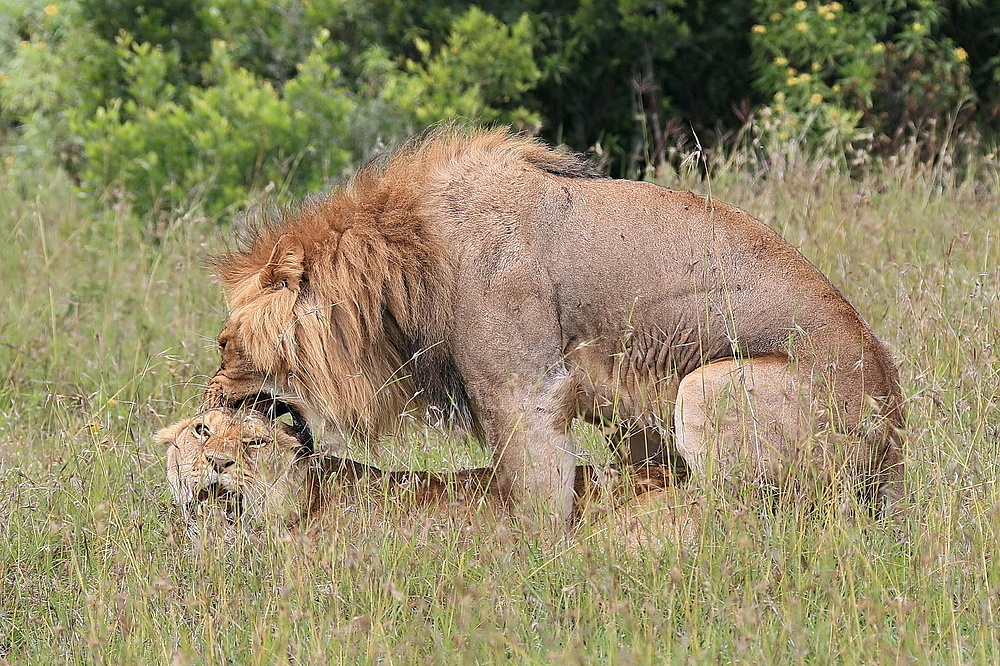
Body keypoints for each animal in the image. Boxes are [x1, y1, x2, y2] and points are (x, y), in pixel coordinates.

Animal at [203, 126, 908, 524]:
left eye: (225, 345)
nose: (208, 401)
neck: (405, 257)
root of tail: (896, 446)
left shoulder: (523, 393)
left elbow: (536, 498)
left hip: (709, 388)